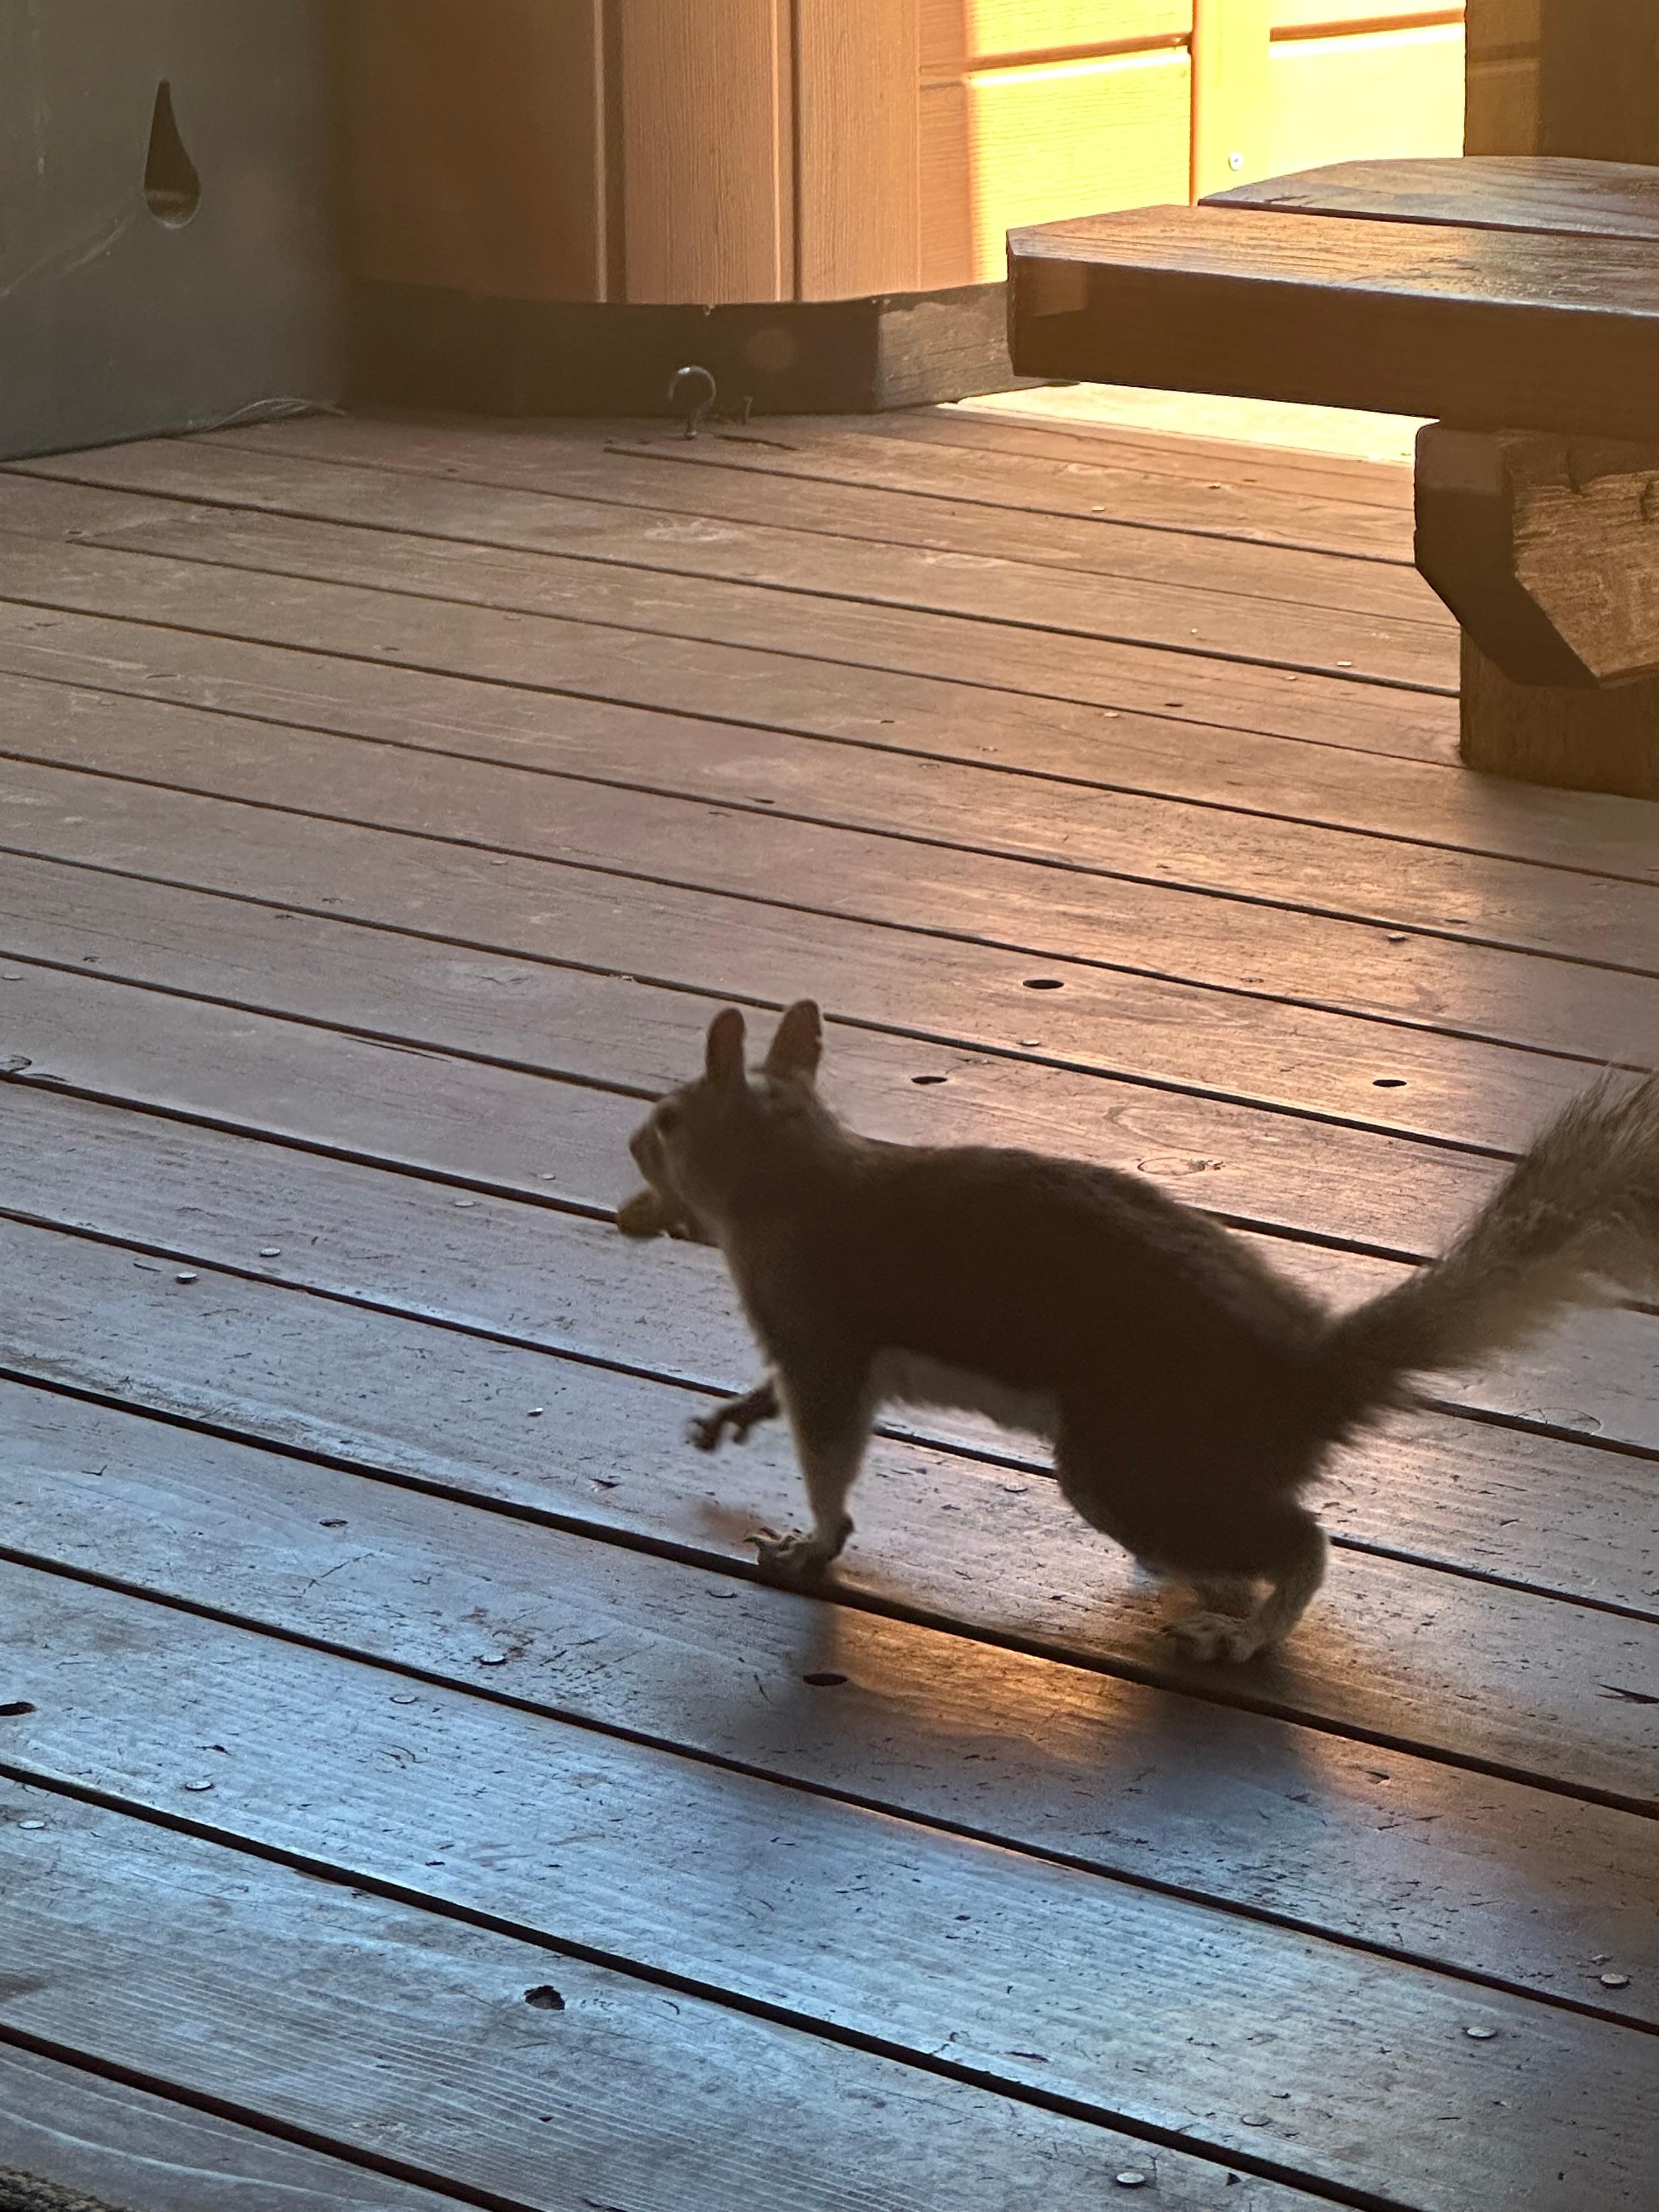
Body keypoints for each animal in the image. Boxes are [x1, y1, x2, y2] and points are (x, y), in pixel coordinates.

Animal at [620, 1000, 1659, 1662]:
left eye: (668, 1121)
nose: (631, 1142)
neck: (800, 1173)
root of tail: (1306, 1377)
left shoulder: (819, 1330)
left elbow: (830, 1446)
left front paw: (813, 1542)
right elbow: (789, 1399)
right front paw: (738, 1413)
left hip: (1138, 1463)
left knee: (1299, 1541)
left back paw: (1244, 1628)